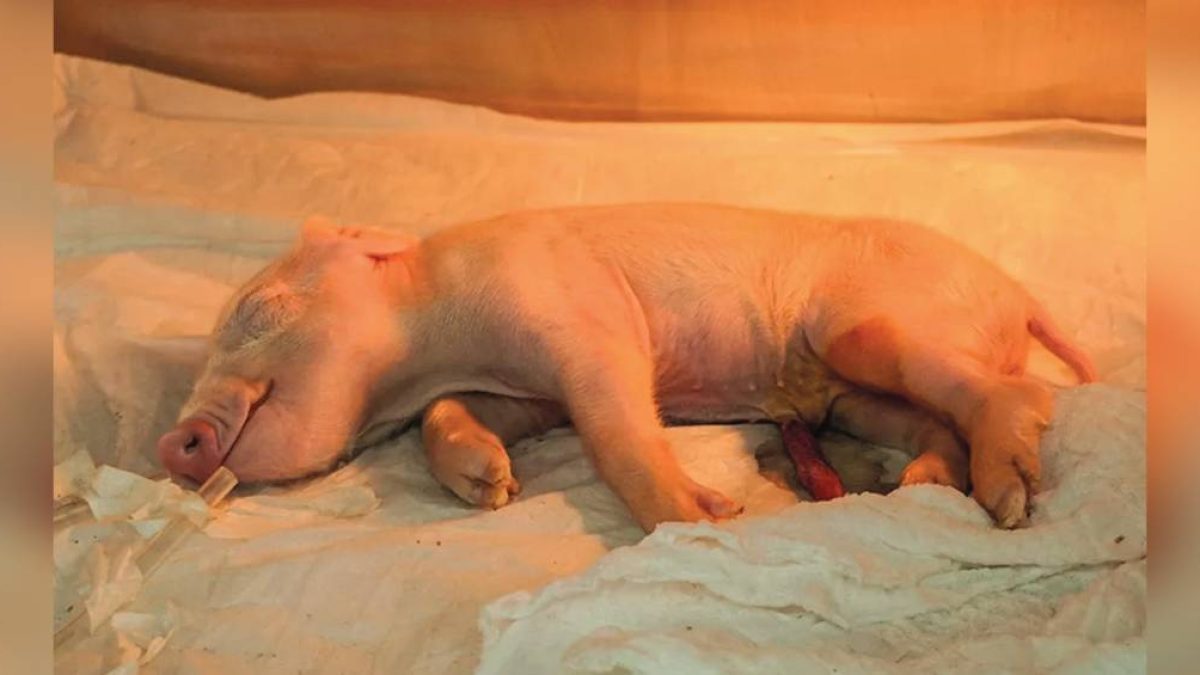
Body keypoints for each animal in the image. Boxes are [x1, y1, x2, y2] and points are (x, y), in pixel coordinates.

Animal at [157, 203, 1096, 531]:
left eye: (255, 310)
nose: (171, 444)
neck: (434, 344)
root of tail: (1018, 296)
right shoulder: (522, 391)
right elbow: (453, 418)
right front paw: (490, 487)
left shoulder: (580, 314)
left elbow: (615, 424)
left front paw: (708, 517)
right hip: (850, 398)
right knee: (931, 421)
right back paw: (925, 482)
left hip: (862, 329)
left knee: (1020, 391)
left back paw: (1008, 499)